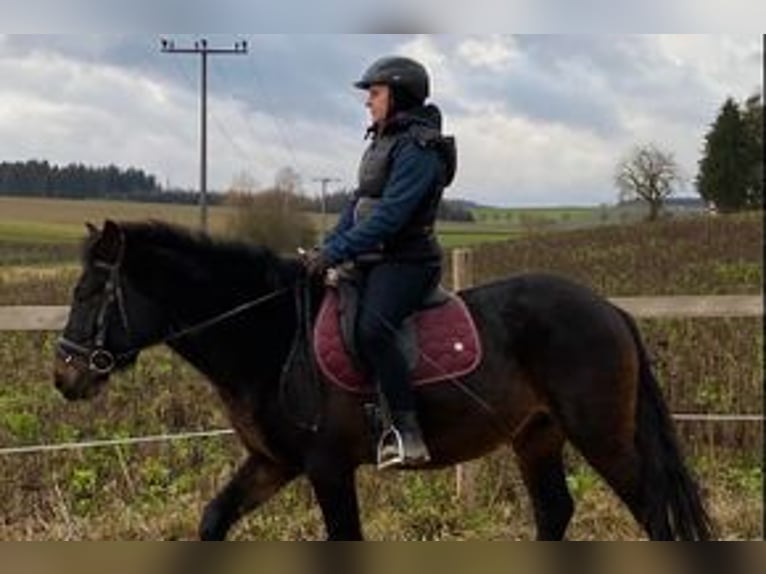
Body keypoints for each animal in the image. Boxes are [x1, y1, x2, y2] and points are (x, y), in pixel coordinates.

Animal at [52, 222, 712, 544]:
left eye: (90, 291)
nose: (64, 376)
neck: (271, 335)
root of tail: (609, 310)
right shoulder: (273, 463)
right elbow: (213, 520)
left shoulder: (325, 466)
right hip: (537, 435)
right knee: (555, 512)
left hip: (599, 432)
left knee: (653, 513)